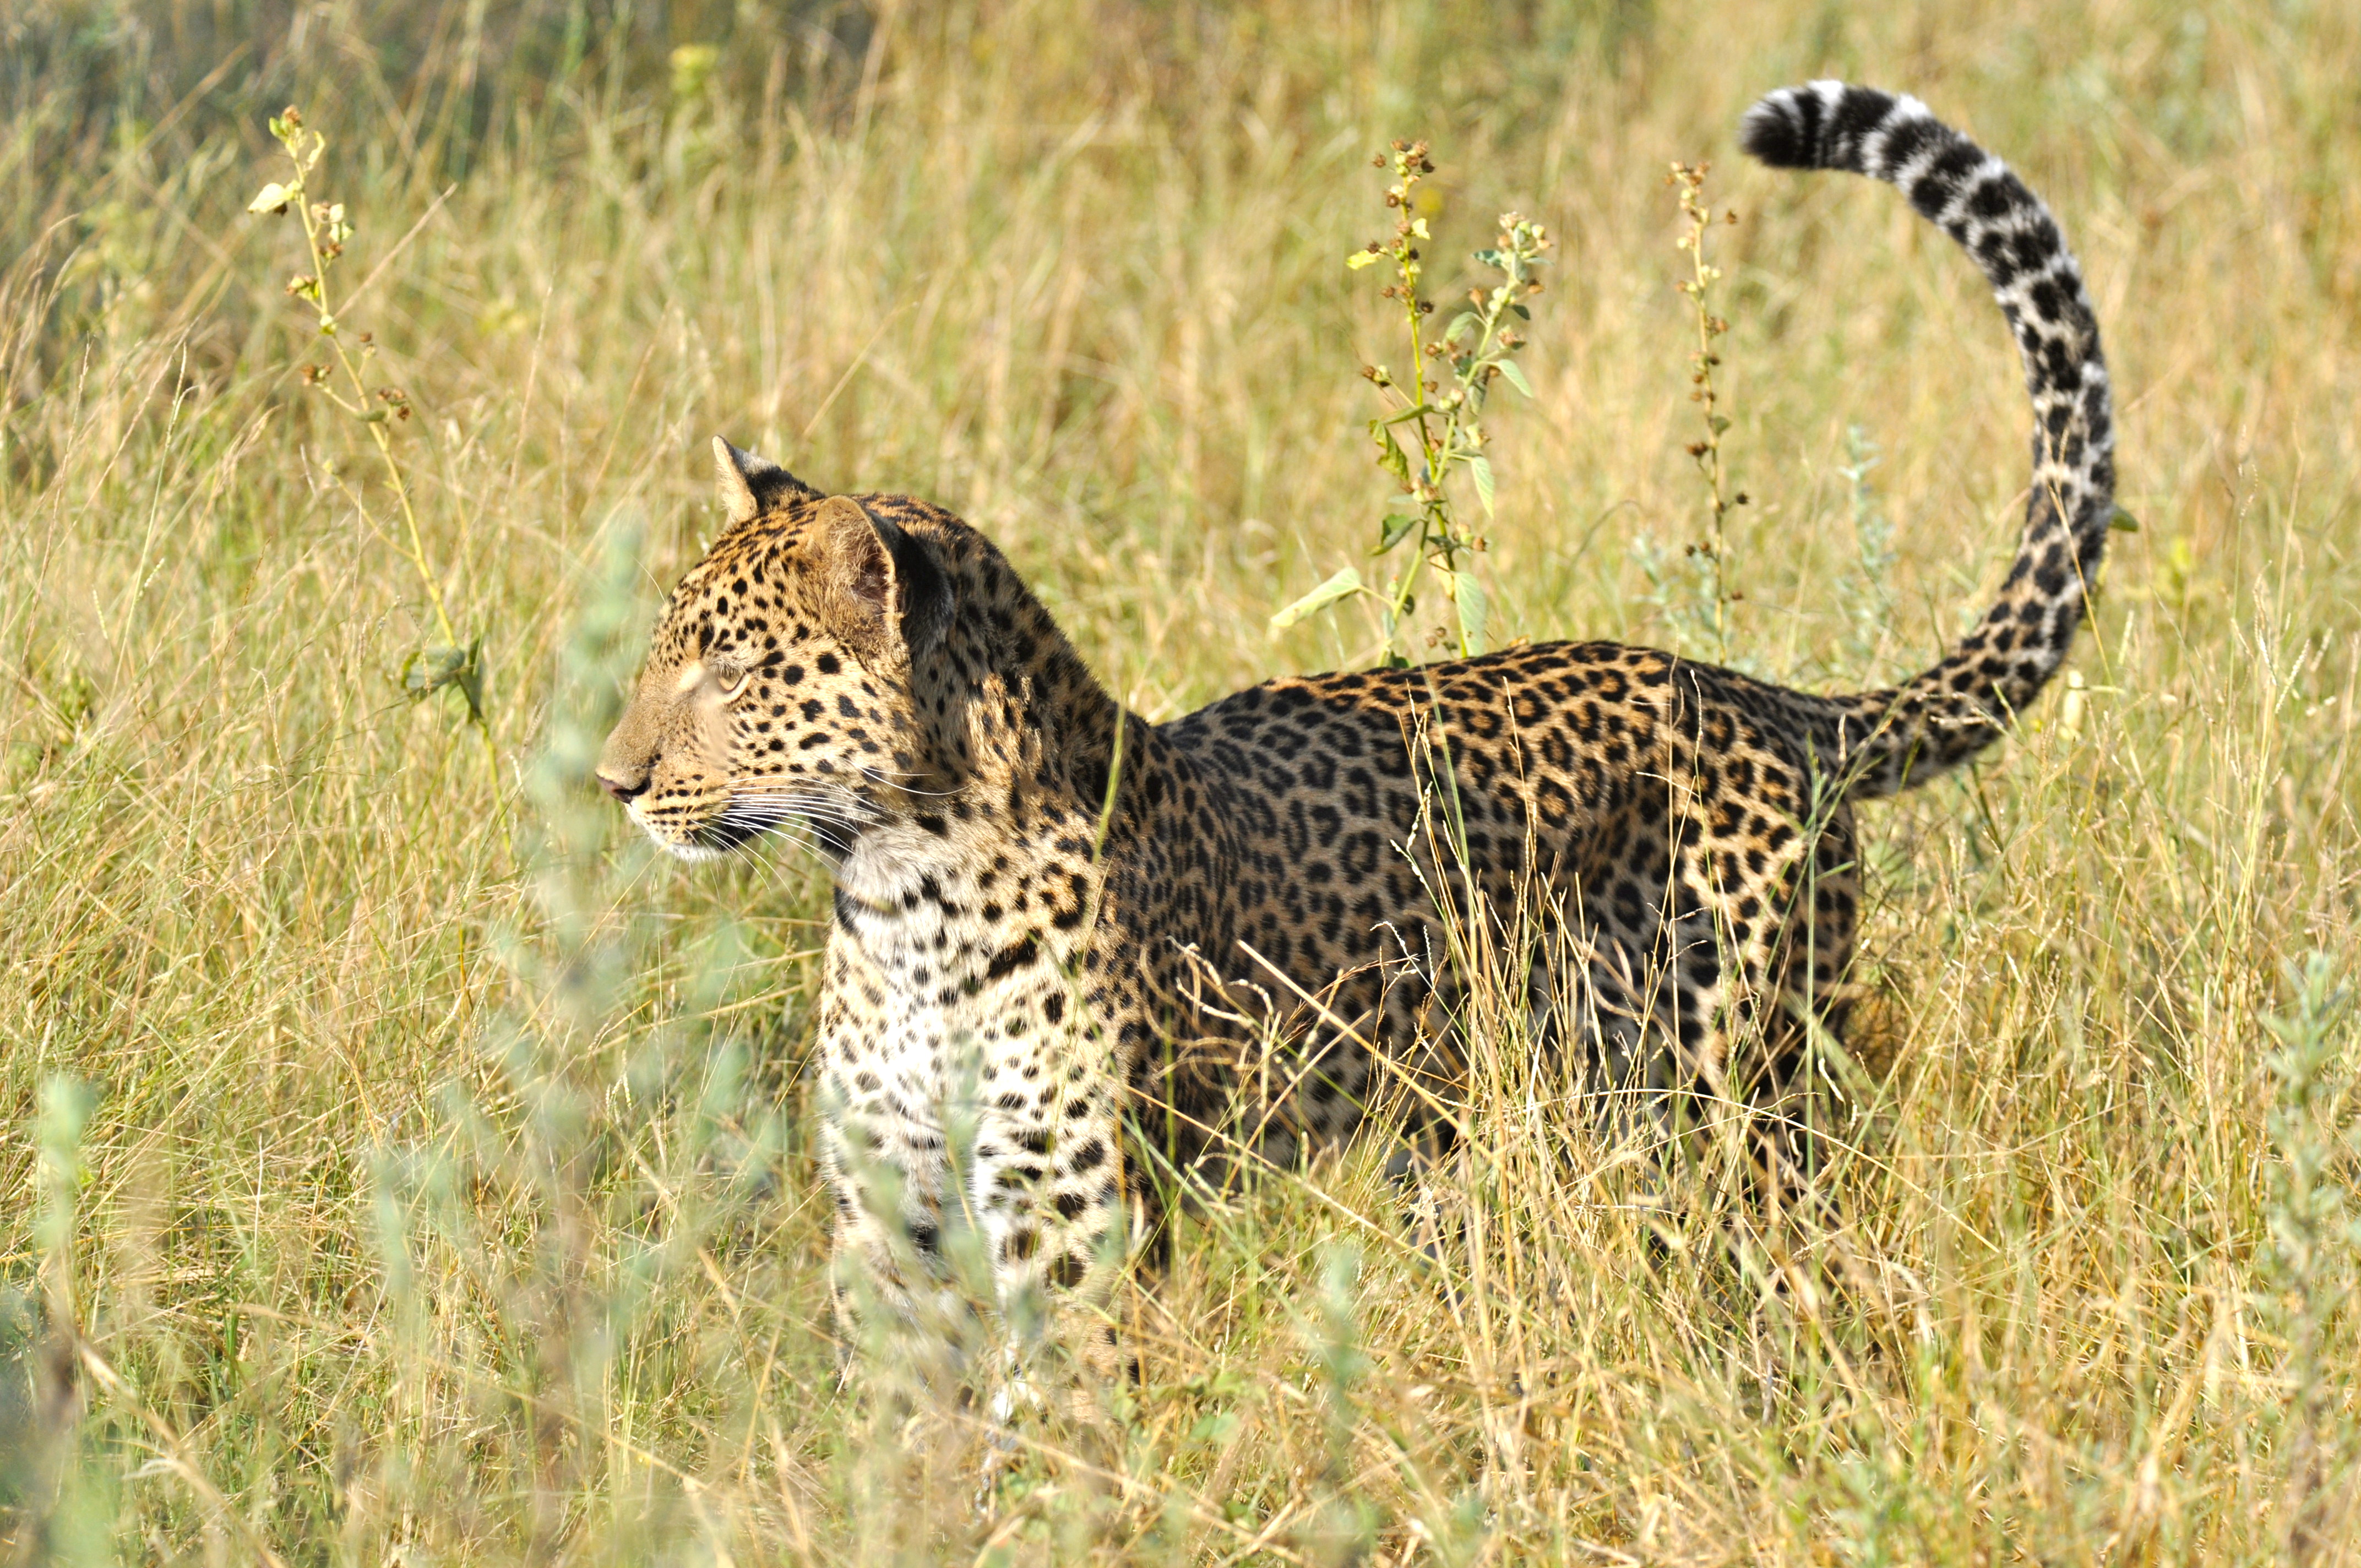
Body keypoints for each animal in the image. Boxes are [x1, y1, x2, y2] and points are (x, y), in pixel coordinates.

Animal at [595, 82, 2113, 1391]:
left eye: (728, 669)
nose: (611, 781)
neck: (898, 882)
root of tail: (1764, 695)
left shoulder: (1067, 1212)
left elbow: (1058, 1427)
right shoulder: (888, 1212)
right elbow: (899, 1427)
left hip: (1731, 1094)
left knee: (1799, 1255)